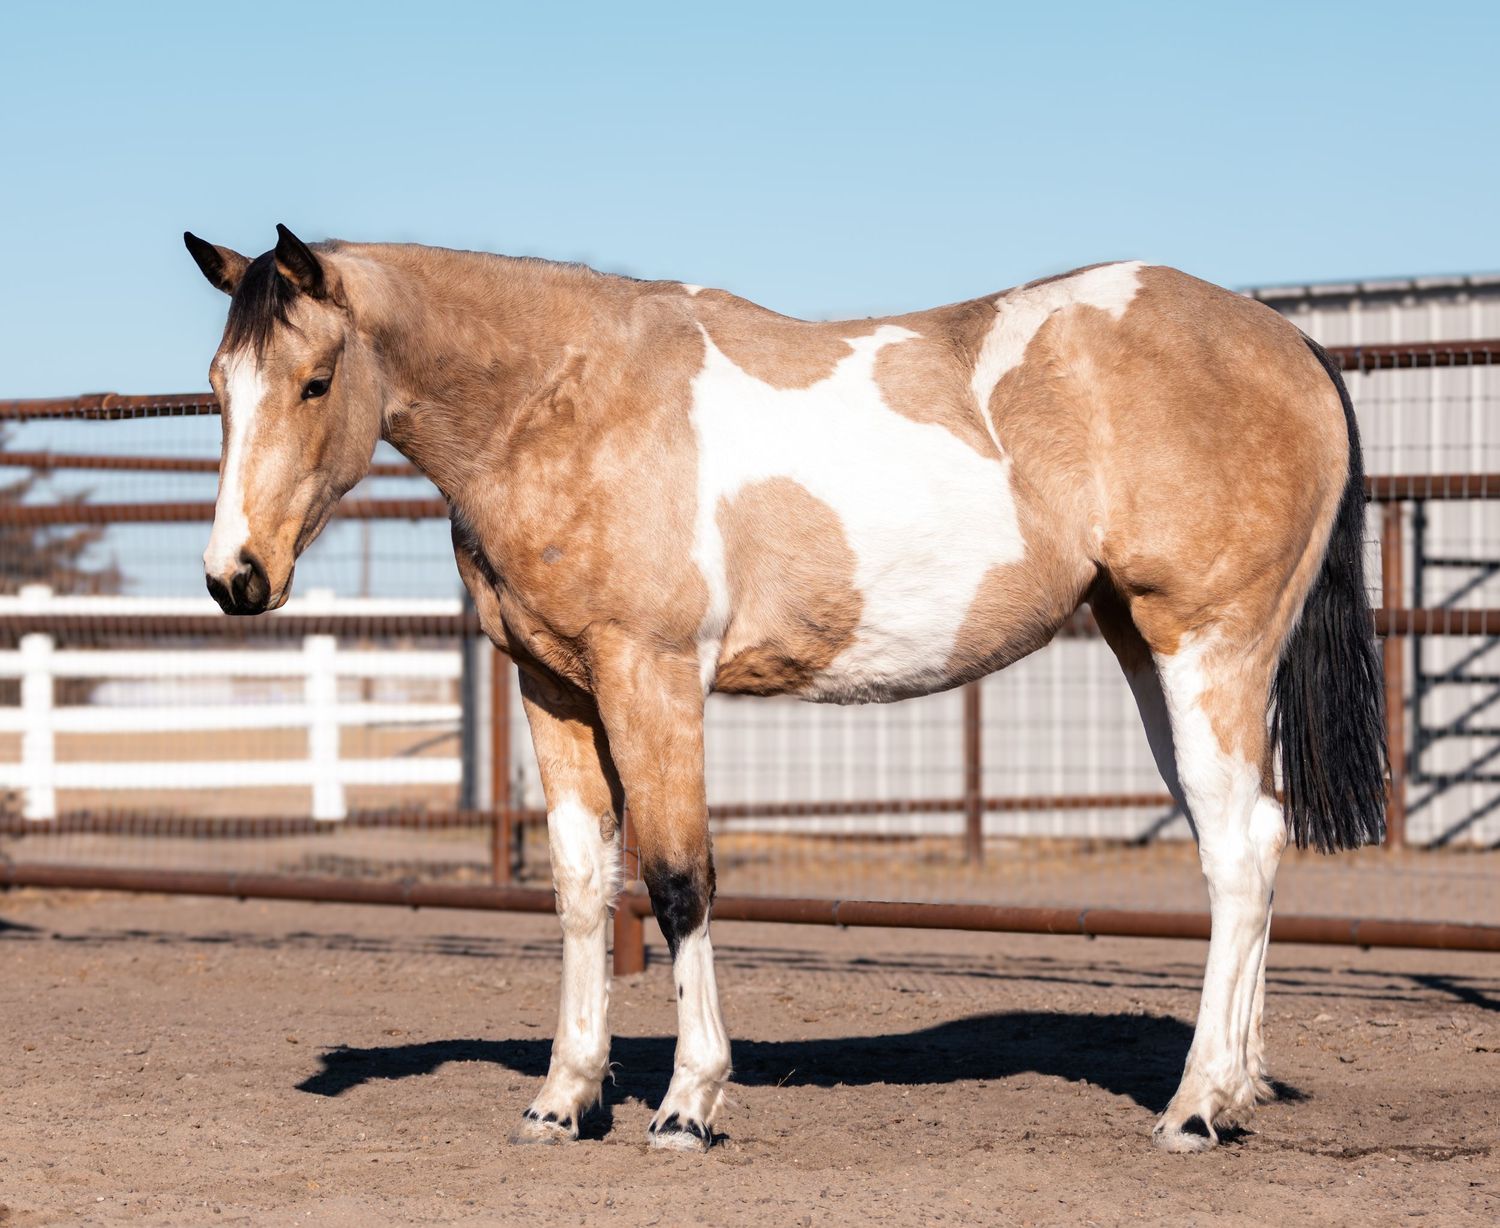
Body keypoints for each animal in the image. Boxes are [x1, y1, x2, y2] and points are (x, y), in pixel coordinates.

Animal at [184, 225, 1386, 1153]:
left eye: (315, 381)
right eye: (217, 388)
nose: (235, 577)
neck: (567, 401)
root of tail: (1289, 341)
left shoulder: (653, 676)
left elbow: (678, 882)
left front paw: (686, 1104)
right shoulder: (554, 688)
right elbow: (581, 887)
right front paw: (564, 1100)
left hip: (1206, 648)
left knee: (1236, 854)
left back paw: (1195, 1108)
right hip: (1151, 654)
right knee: (1252, 837)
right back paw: (1235, 1087)